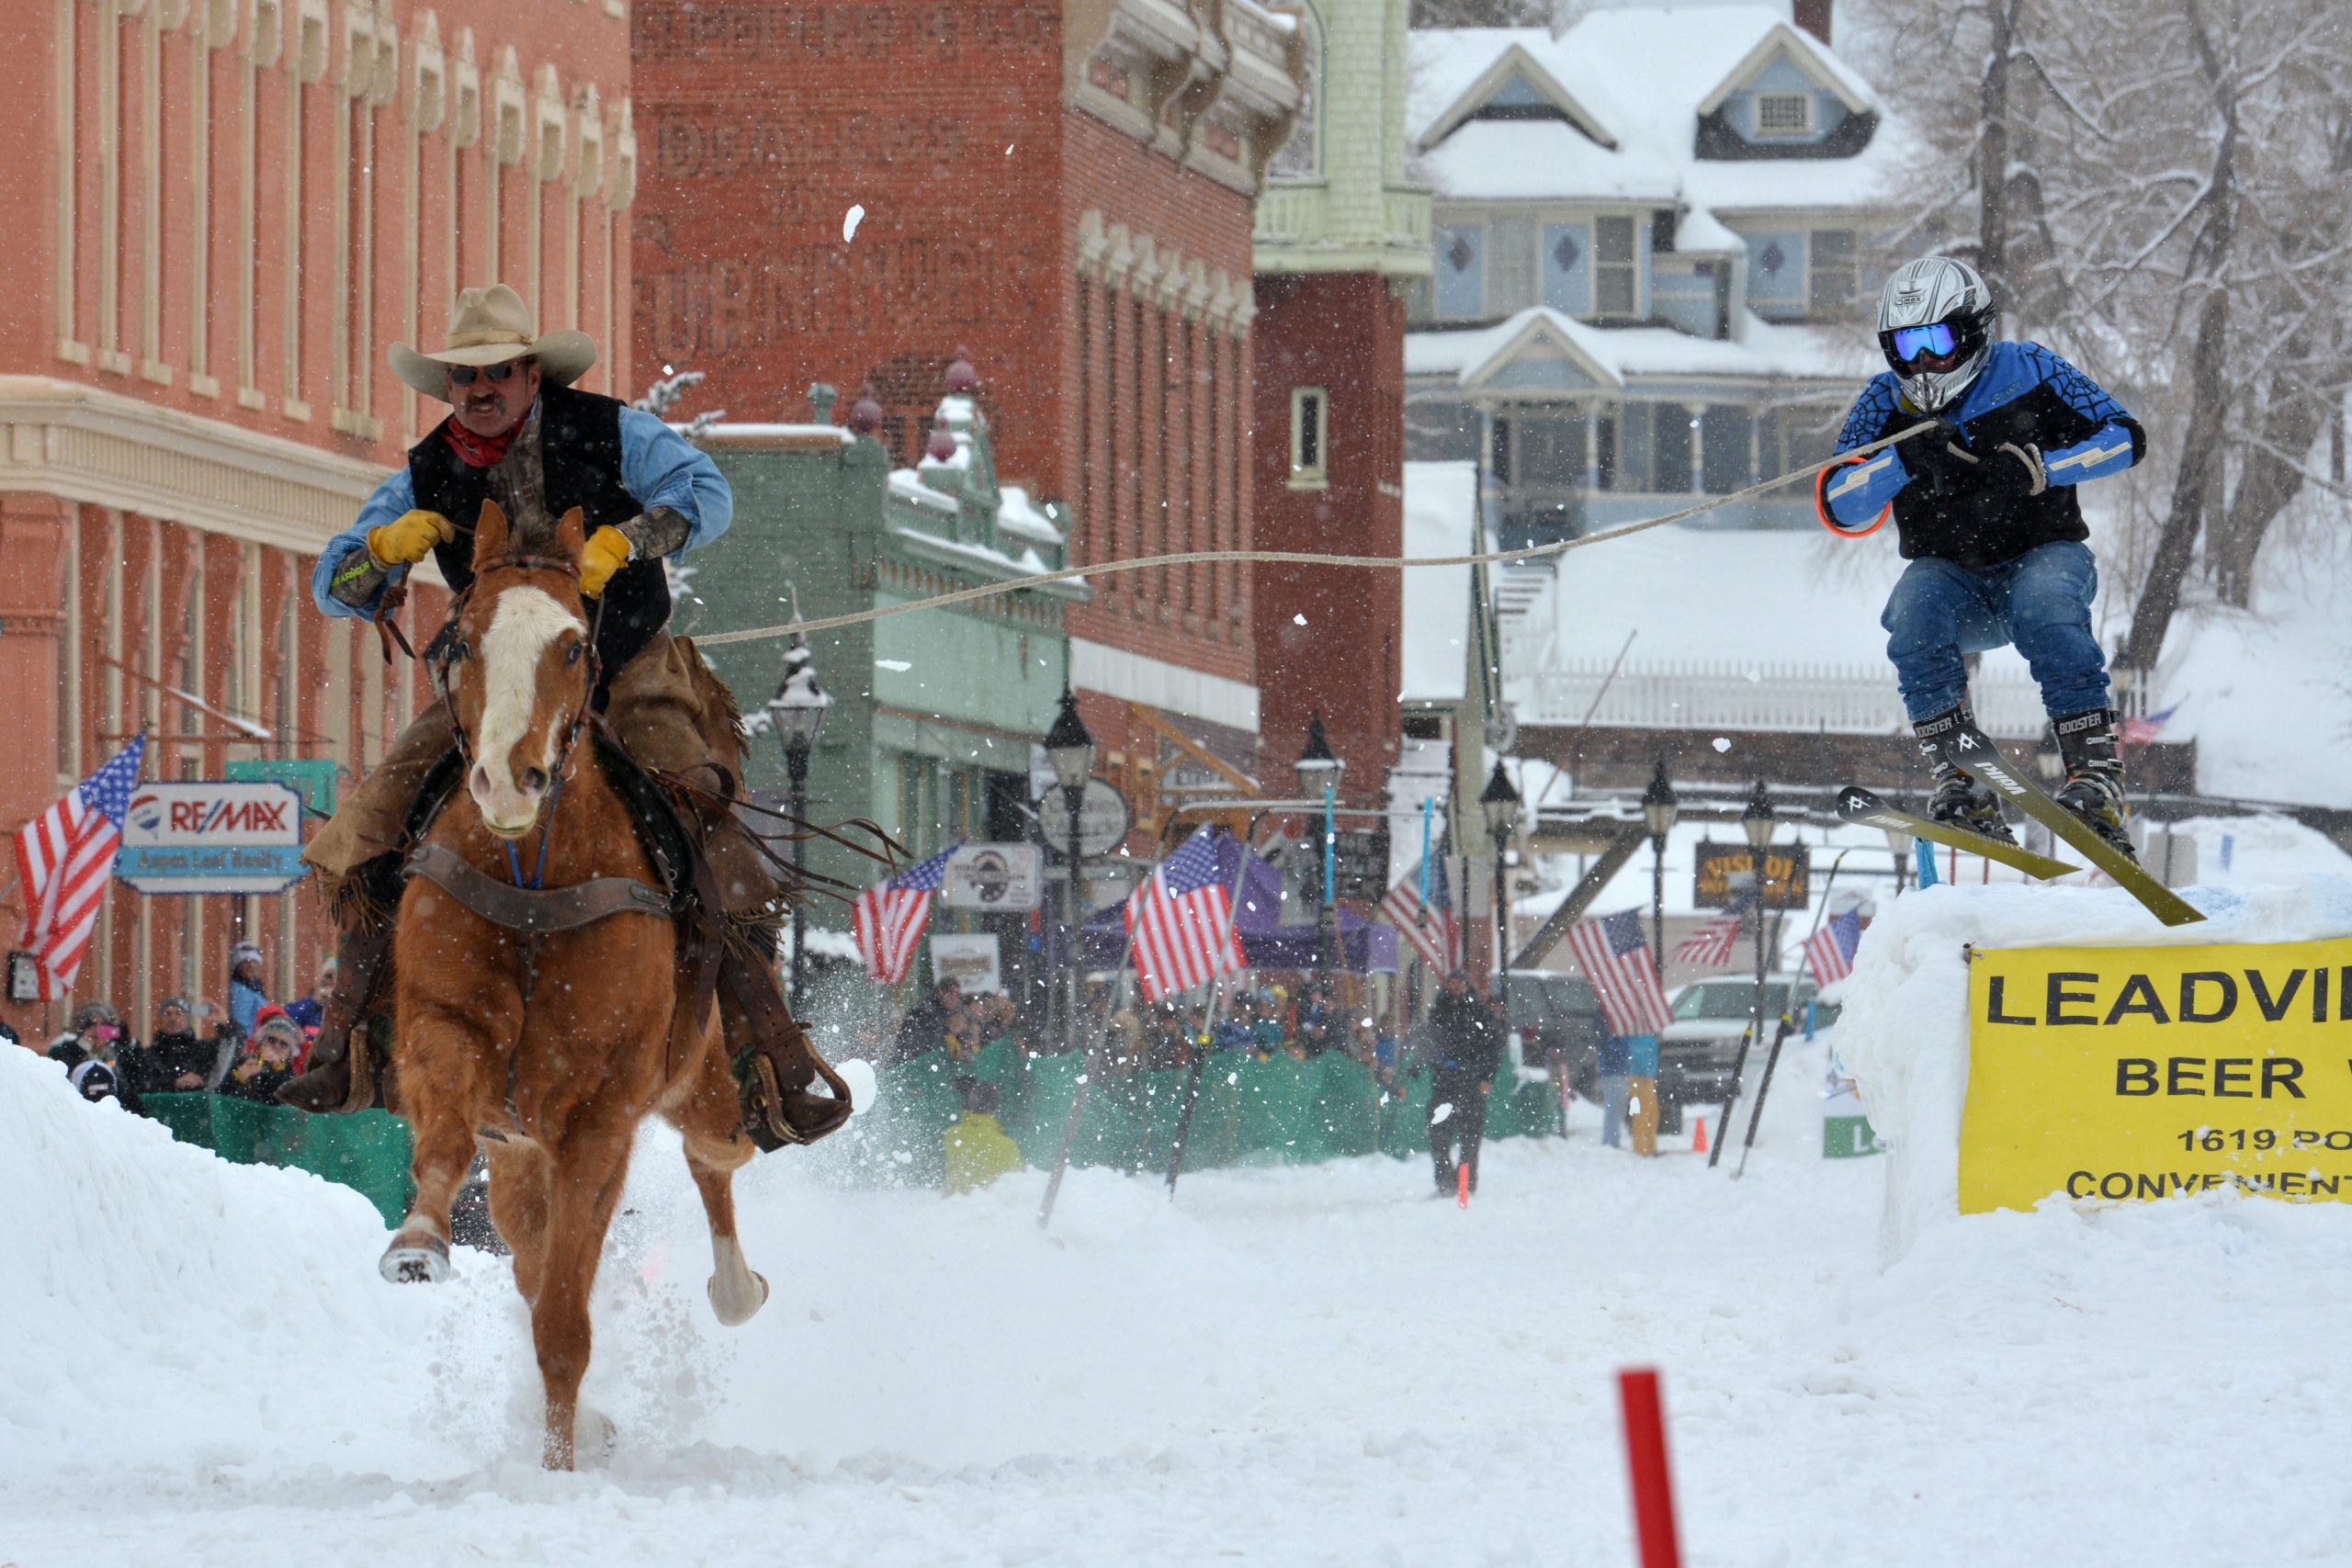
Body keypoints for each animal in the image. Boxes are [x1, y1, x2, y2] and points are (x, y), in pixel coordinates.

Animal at [374, 501, 762, 1476]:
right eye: (460, 640)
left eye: (575, 644)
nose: (509, 779)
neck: (534, 877)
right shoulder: (444, 1031)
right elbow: (445, 1145)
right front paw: (418, 1239)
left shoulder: (600, 1115)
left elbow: (562, 1325)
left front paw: (558, 1473)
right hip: (521, 1148)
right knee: (526, 1242)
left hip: (698, 1080)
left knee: (717, 1157)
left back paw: (735, 1284)